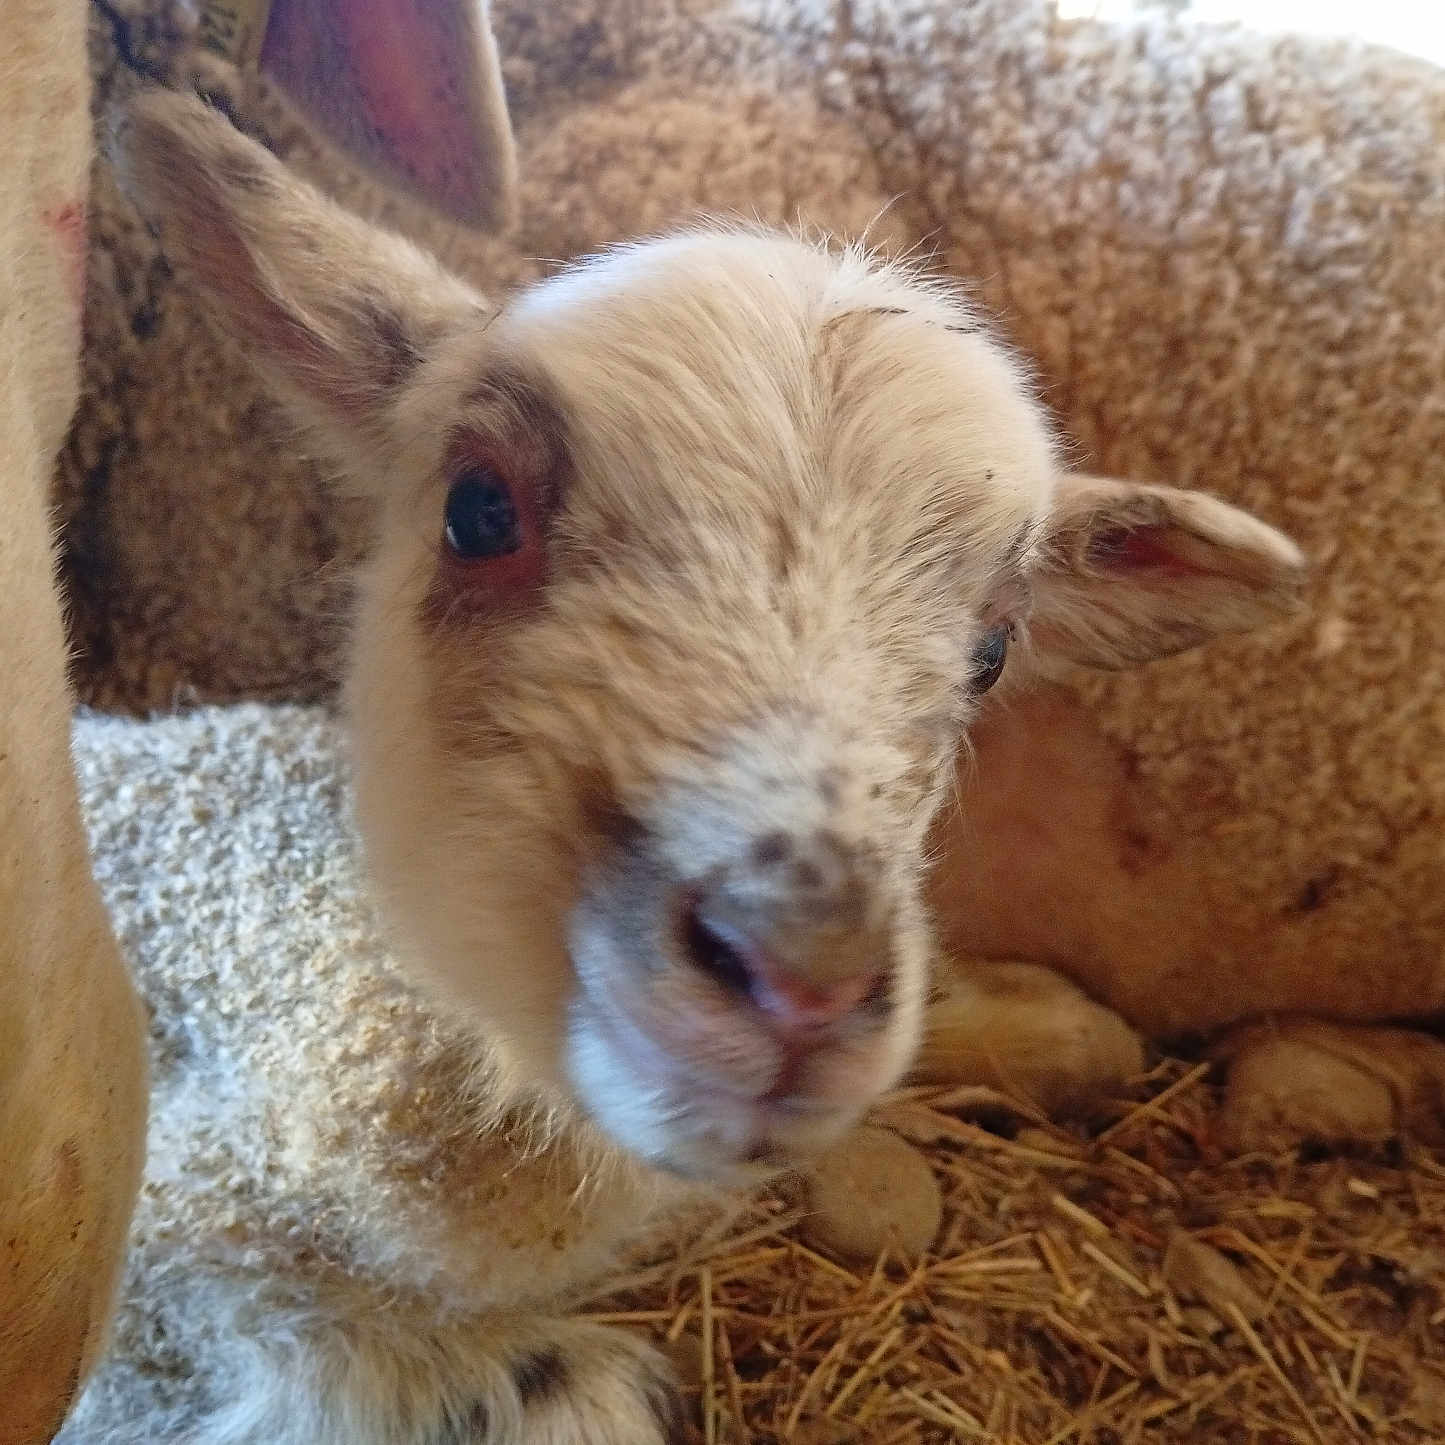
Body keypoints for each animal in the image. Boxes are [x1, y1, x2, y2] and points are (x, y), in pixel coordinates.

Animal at [84, 88, 1312, 1444]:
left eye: (993, 649)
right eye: (477, 511)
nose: (802, 976)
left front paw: (1046, 1024)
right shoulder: (130, 1224)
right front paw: (561, 1380)